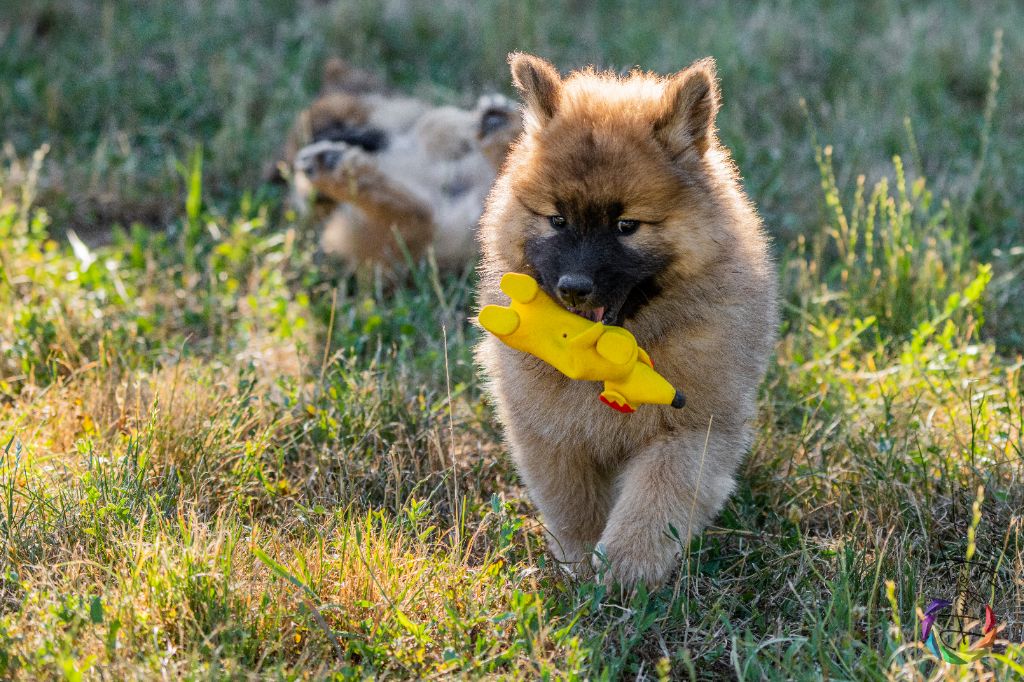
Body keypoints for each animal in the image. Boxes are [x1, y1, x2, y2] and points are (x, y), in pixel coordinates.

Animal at [475, 53, 778, 585]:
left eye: (625, 226)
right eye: (558, 221)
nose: (573, 287)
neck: (615, 352)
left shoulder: (692, 429)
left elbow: (656, 497)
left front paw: (625, 566)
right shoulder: (549, 432)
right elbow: (573, 503)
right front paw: (579, 562)